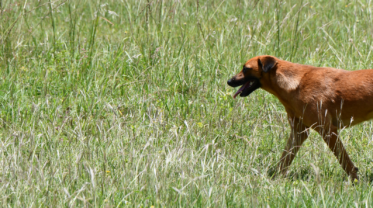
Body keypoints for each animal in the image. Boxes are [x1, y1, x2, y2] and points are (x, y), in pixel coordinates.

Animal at [225, 54, 372, 180]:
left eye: (245, 68)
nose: (229, 81)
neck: (296, 83)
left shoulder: (327, 130)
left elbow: (345, 161)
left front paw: (355, 181)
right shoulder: (298, 132)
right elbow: (285, 158)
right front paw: (275, 179)